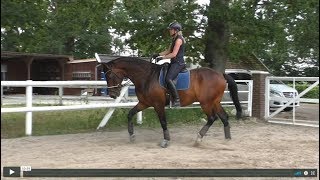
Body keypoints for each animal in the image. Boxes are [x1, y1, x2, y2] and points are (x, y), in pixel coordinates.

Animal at [101, 56, 241, 148]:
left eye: (110, 75)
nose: (112, 95)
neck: (147, 76)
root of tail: (221, 74)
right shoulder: (144, 103)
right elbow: (130, 114)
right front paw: (131, 136)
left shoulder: (158, 105)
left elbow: (163, 122)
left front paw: (166, 141)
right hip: (215, 102)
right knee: (224, 117)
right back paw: (227, 139)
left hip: (206, 103)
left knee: (212, 118)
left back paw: (198, 139)